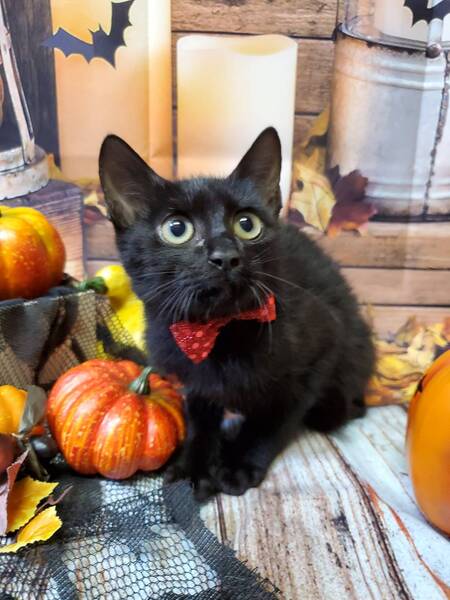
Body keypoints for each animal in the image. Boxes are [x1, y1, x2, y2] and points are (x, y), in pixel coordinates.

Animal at [99, 127, 375, 500]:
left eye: (247, 224)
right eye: (176, 229)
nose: (226, 255)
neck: (220, 331)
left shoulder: (321, 349)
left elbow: (273, 422)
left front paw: (238, 463)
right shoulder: (195, 380)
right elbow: (201, 419)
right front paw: (196, 467)